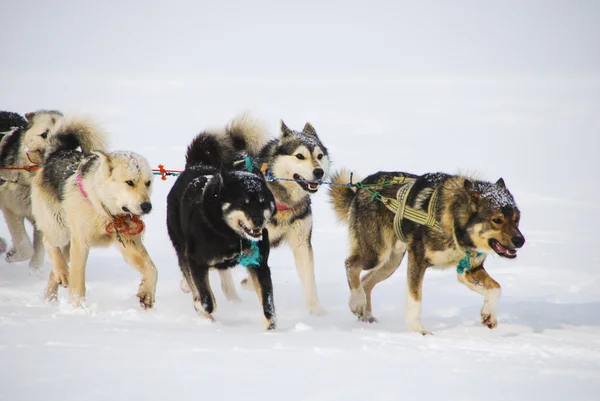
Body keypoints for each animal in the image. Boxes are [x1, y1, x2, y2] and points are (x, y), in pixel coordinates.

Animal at [30, 117, 158, 308]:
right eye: (129, 182)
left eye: (148, 183)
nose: (147, 206)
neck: (103, 209)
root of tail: (57, 153)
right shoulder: (81, 244)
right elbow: (78, 284)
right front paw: (79, 309)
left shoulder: (128, 243)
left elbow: (152, 269)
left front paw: (147, 293)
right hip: (60, 230)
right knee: (48, 243)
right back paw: (62, 274)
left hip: (69, 243)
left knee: (56, 269)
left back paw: (53, 291)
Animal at [168, 115, 278, 328]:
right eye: (243, 203)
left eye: (262, 202)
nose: (258, 221)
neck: (229, 235)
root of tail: (195, 165)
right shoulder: (195, 261)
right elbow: (206, 299)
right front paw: (202, 307)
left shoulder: (259, 263)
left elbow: (268, 303)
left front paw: (271, 329)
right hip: (181, 245)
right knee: (188, 271)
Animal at [328, 170, 524, 334]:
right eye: (497, 219)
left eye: (517, 219)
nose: (520, 241)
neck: (453, 223)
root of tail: (360, 187)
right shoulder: (418, 260)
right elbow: (415, 299)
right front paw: (417, 330)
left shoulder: (470, 268)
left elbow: (496, 288)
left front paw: (488, 315)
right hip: (376, 254)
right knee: (351, 265)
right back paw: (357, 301)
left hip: (391, 263)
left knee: (366, 281)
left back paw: (366, 314)